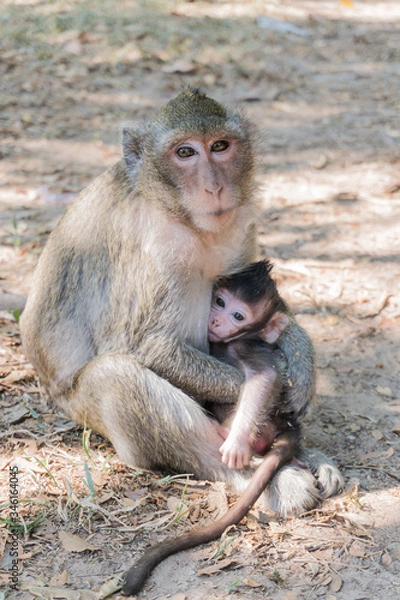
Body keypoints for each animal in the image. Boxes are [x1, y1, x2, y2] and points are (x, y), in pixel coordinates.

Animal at [209, 260, 296, 472]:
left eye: (238, 316)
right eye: (220, 302)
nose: (216, 321)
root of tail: (289, 423)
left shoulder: (245, 347)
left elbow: (265, 377)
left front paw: (237, 441)